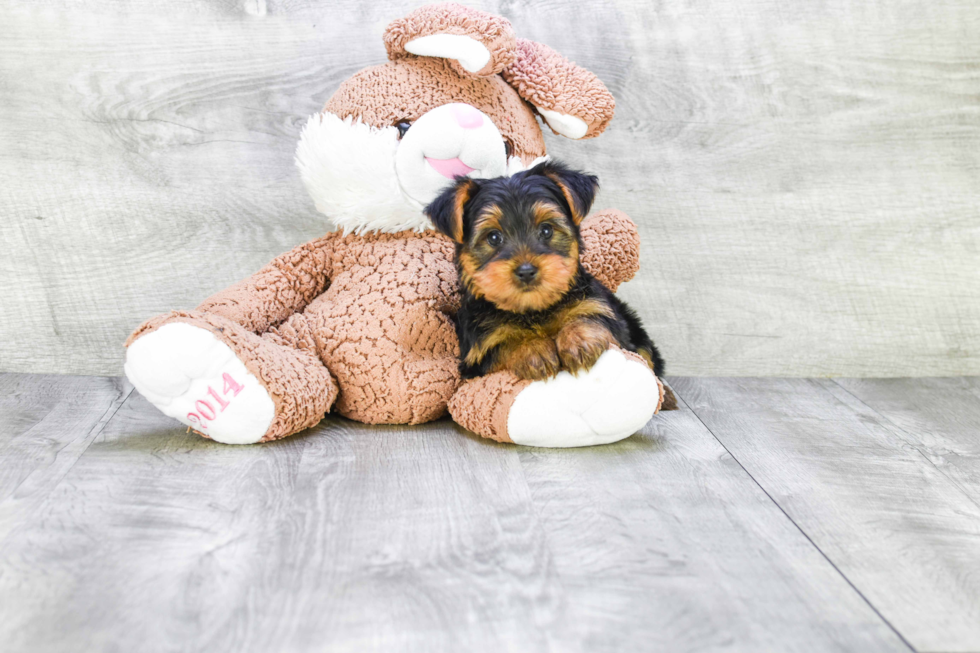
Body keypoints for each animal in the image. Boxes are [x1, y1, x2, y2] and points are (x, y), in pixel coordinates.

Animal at [424, 160, 668, 402]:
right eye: (493, 237)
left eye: (547, 229)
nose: (526, 271)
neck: (534, 309)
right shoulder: (477, 354)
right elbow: (503, 345)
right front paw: (533, 350)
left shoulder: (601, 310)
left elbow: (592, 317)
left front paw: (578, 340)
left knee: (648, 356)